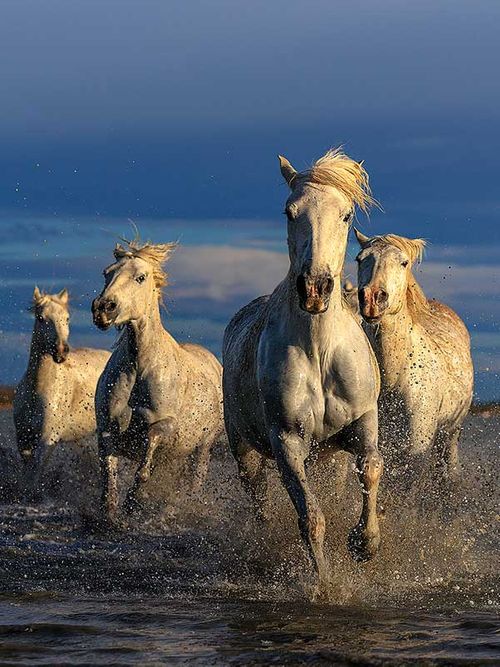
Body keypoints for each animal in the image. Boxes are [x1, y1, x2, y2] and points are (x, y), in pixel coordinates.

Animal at [14, 287, 111, 495]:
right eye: (41, 318)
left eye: (66, 318)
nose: (60, 351)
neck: (38, 390)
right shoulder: (23, 439)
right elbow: (27, 475)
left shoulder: (47, 439)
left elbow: (34, 475)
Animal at [92, 237, 224, 521]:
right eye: (107, 272)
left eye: (140, 277)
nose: (103, 309)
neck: (138, 368)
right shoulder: (106, 427)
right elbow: (108, 475)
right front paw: (109, 514)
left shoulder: (167, 426)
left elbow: (147, 455)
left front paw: (133, 502)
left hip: (202, 449)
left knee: (193, 483)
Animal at [223, 148, 383, 589]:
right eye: (289, 211)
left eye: (346, 215)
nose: (314, 288)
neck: (319, 349)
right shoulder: (288, 440)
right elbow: (311, 518)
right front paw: (326, 584)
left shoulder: (363, 420)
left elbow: (372, 469)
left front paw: (364, 543)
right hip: (246, 451)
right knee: (259, 500)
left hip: (328, 457)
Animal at [354, 229, 473, 477]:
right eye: (360, 259)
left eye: (403, 262)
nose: (372, 299)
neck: (394, 378)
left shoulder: (415, 451)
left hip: (451, 432)